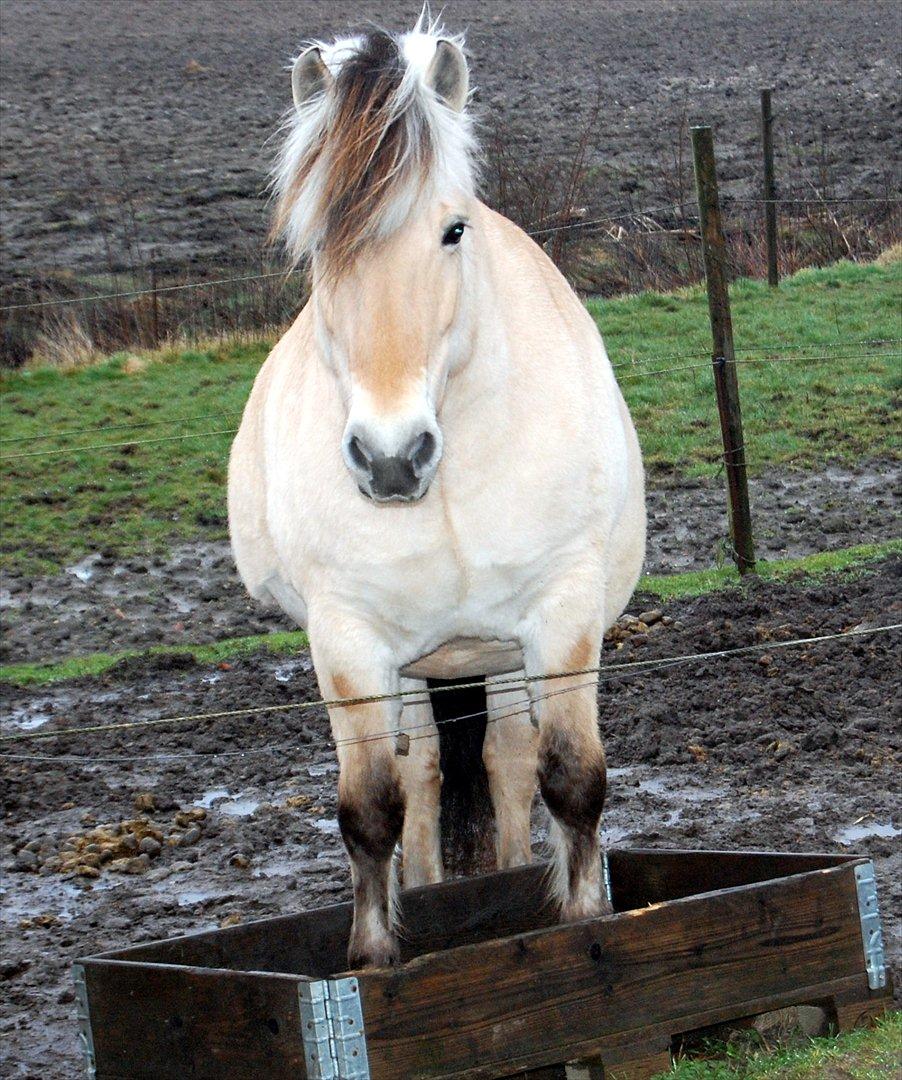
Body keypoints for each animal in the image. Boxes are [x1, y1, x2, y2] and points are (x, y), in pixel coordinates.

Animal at [229, 19, 643, 972]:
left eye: (453, 230)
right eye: (318, 247)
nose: (390, 459)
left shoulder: (562, 614)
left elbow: (572, 779)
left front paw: (582, 924)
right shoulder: (349, 645)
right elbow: (371, 808)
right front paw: (375, 958)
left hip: (504, 654)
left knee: (509, 759)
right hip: (413, 667)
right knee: (420, 774)